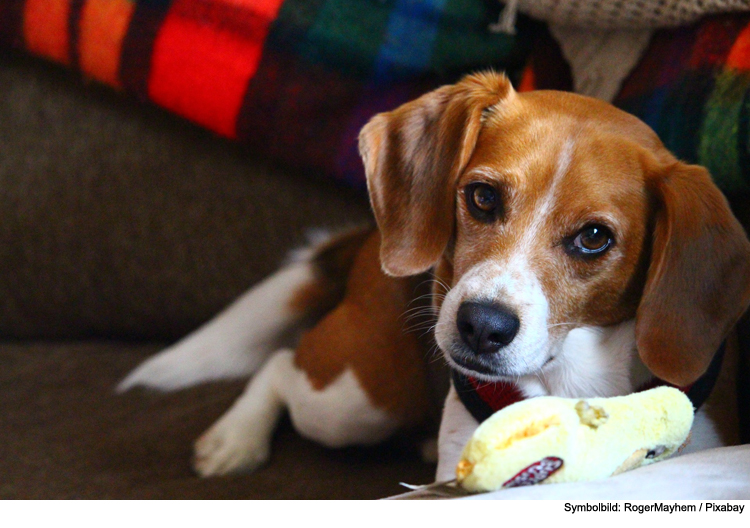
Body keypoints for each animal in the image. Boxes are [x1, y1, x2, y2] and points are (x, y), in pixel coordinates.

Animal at [117, 72, 750, 488]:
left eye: (594, 238)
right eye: (483, 197)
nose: (481, 325)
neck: (572, 386)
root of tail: (368, 235)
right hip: (356, 398)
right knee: (281, 363)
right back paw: (236, 438)